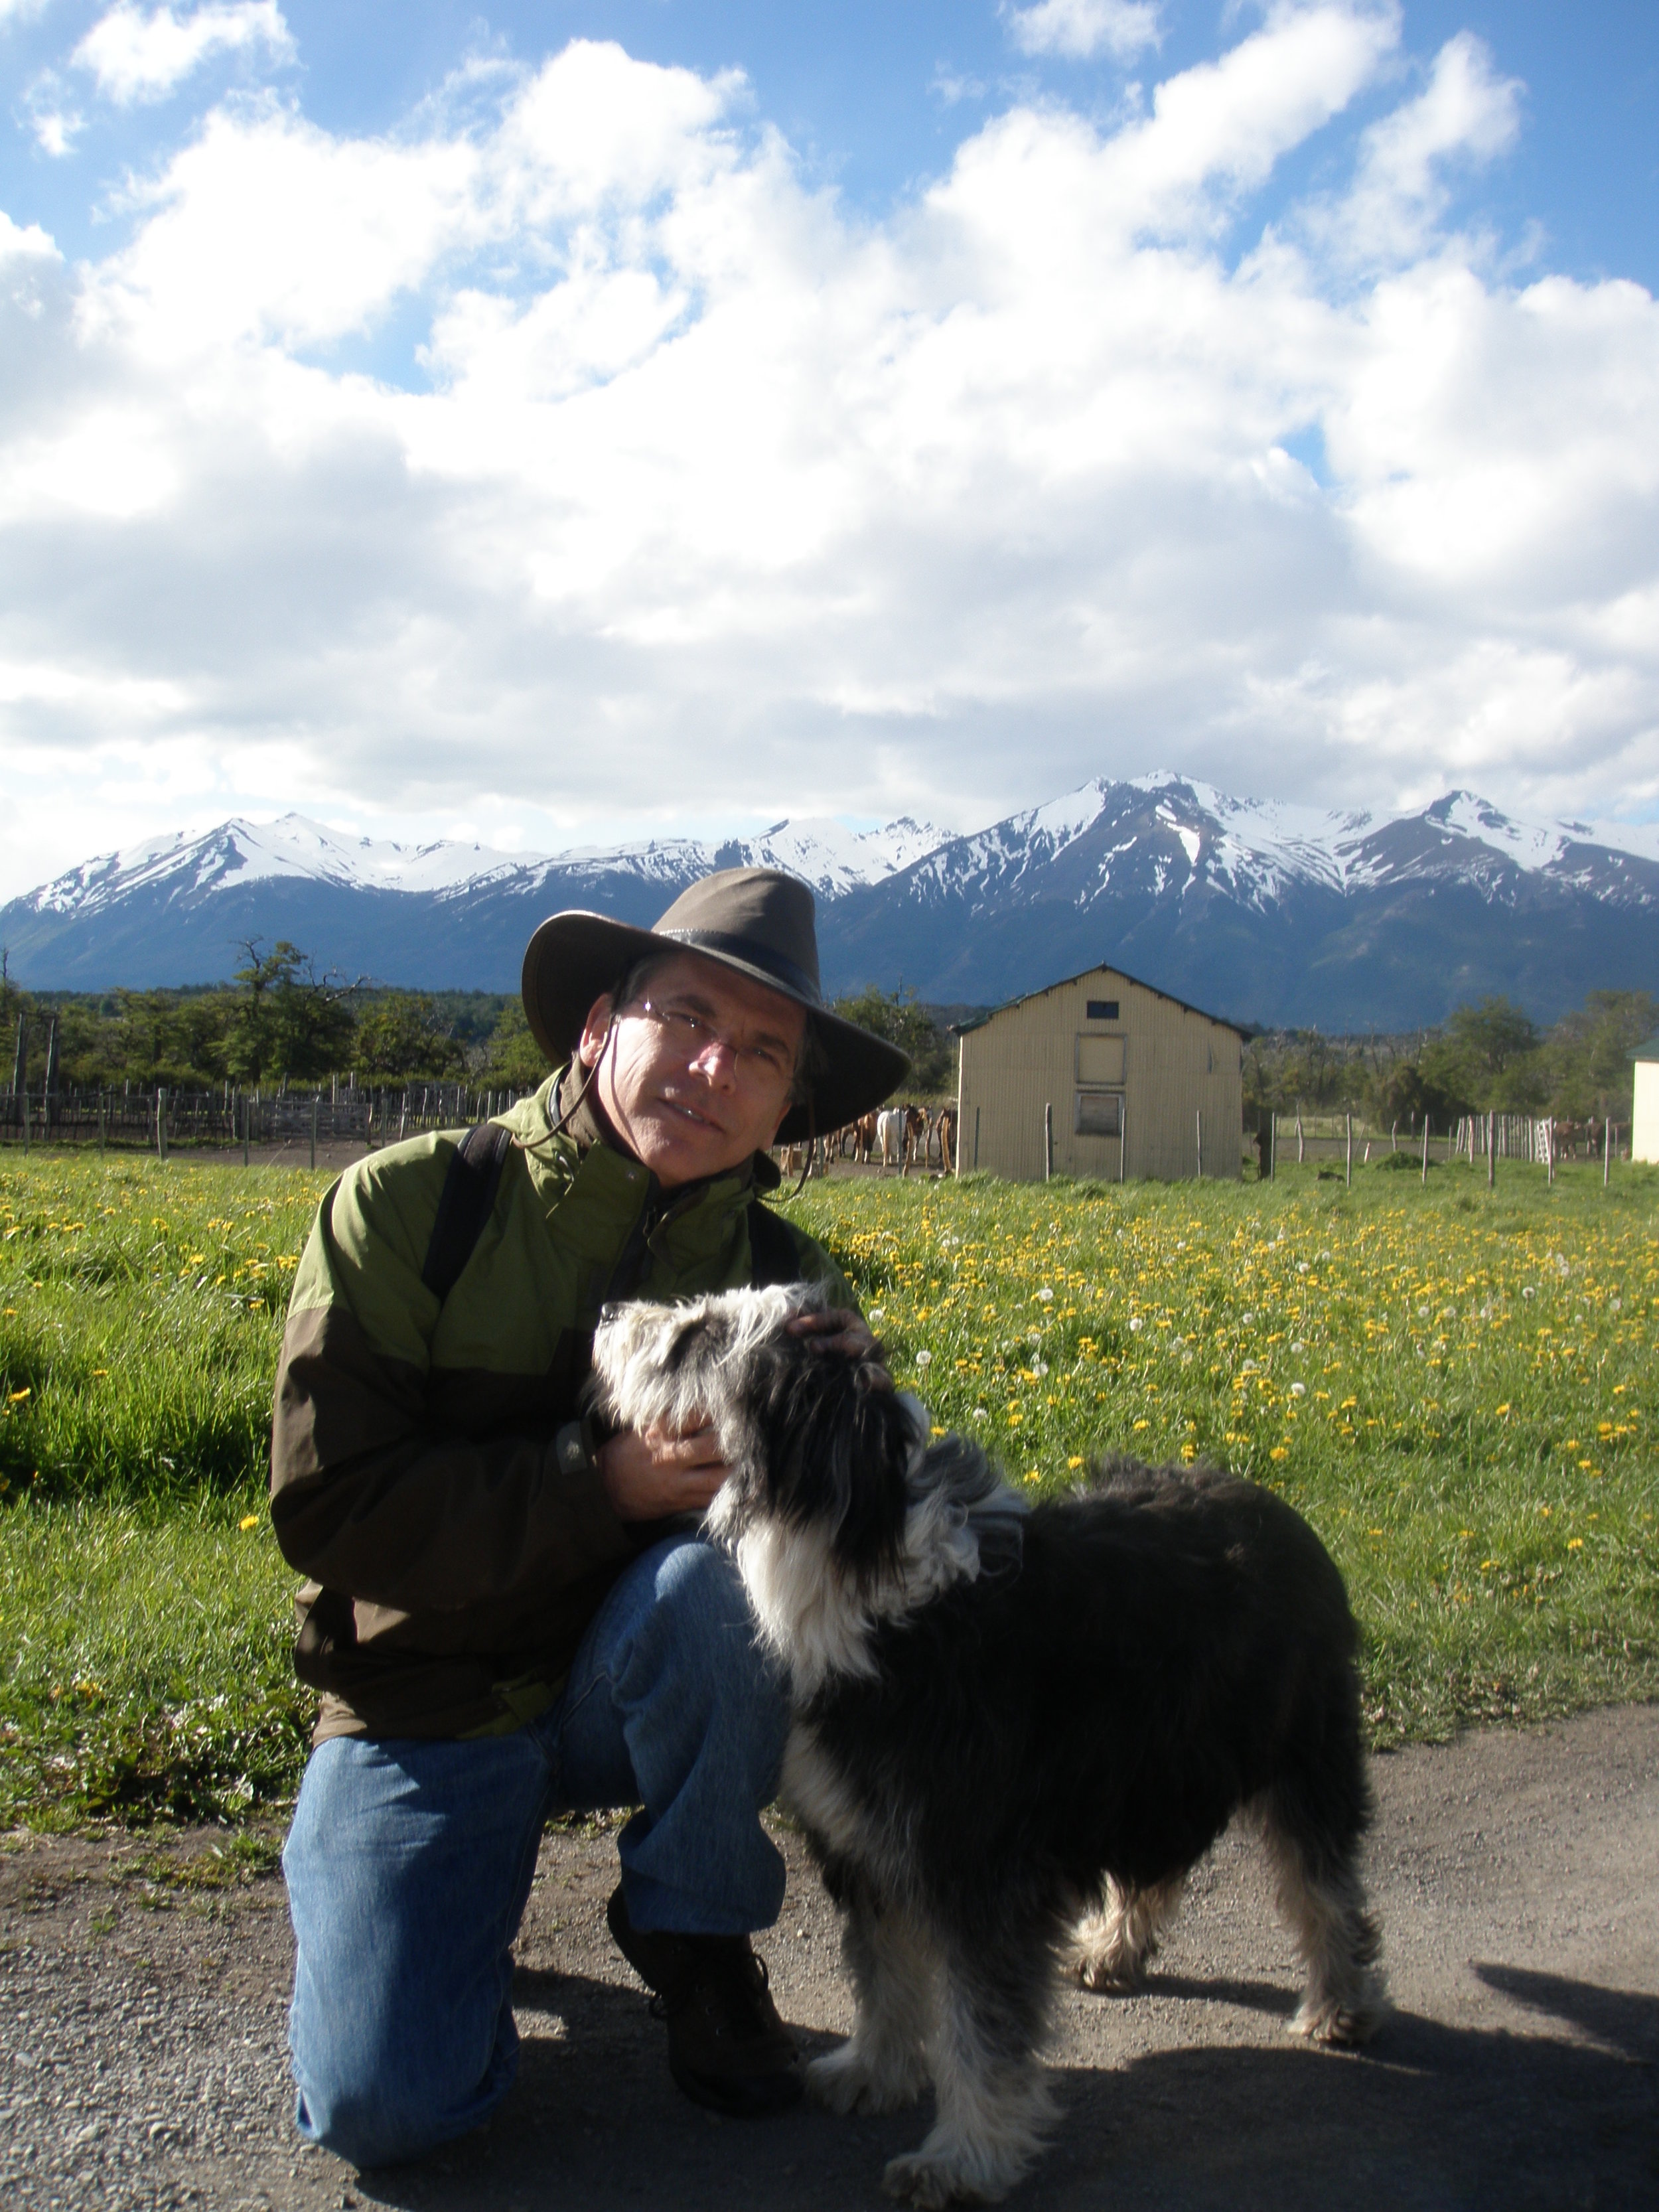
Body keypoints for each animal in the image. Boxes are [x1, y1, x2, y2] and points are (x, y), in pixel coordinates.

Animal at [588, 1291, 1389, 2203]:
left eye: (700, 1336)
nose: (608, 1313)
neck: (862, 1567)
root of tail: (1276, 1503)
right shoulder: (867, 1843)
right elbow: (883, 1974)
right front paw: (873, 2070)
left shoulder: (977, 1866)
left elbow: (981, 2027)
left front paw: (961, 2158)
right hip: (1155, 1765)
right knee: (1157, 1867)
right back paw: (1114, 1949)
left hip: (1299, 1751)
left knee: (1323, 1882)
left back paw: (1341, 2001)